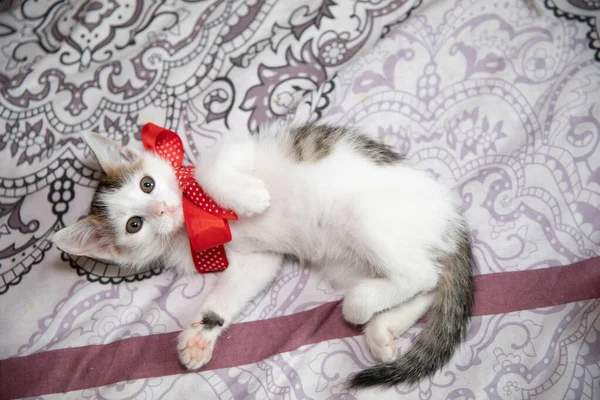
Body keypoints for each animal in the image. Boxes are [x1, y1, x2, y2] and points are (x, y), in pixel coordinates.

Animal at [52, 123, 474, 390]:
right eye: (134, 225)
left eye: (147, 183)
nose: (162, 209)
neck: (190, 219)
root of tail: (452, 222)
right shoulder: (255, 257)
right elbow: (234, 290)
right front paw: (200, 337)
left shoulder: (235, 151)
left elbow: (213, 172)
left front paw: (250, 197)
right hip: (345, 261)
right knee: (426, 283)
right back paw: (381, 329)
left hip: (364, 214)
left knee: (421, 275)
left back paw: (362, 306)